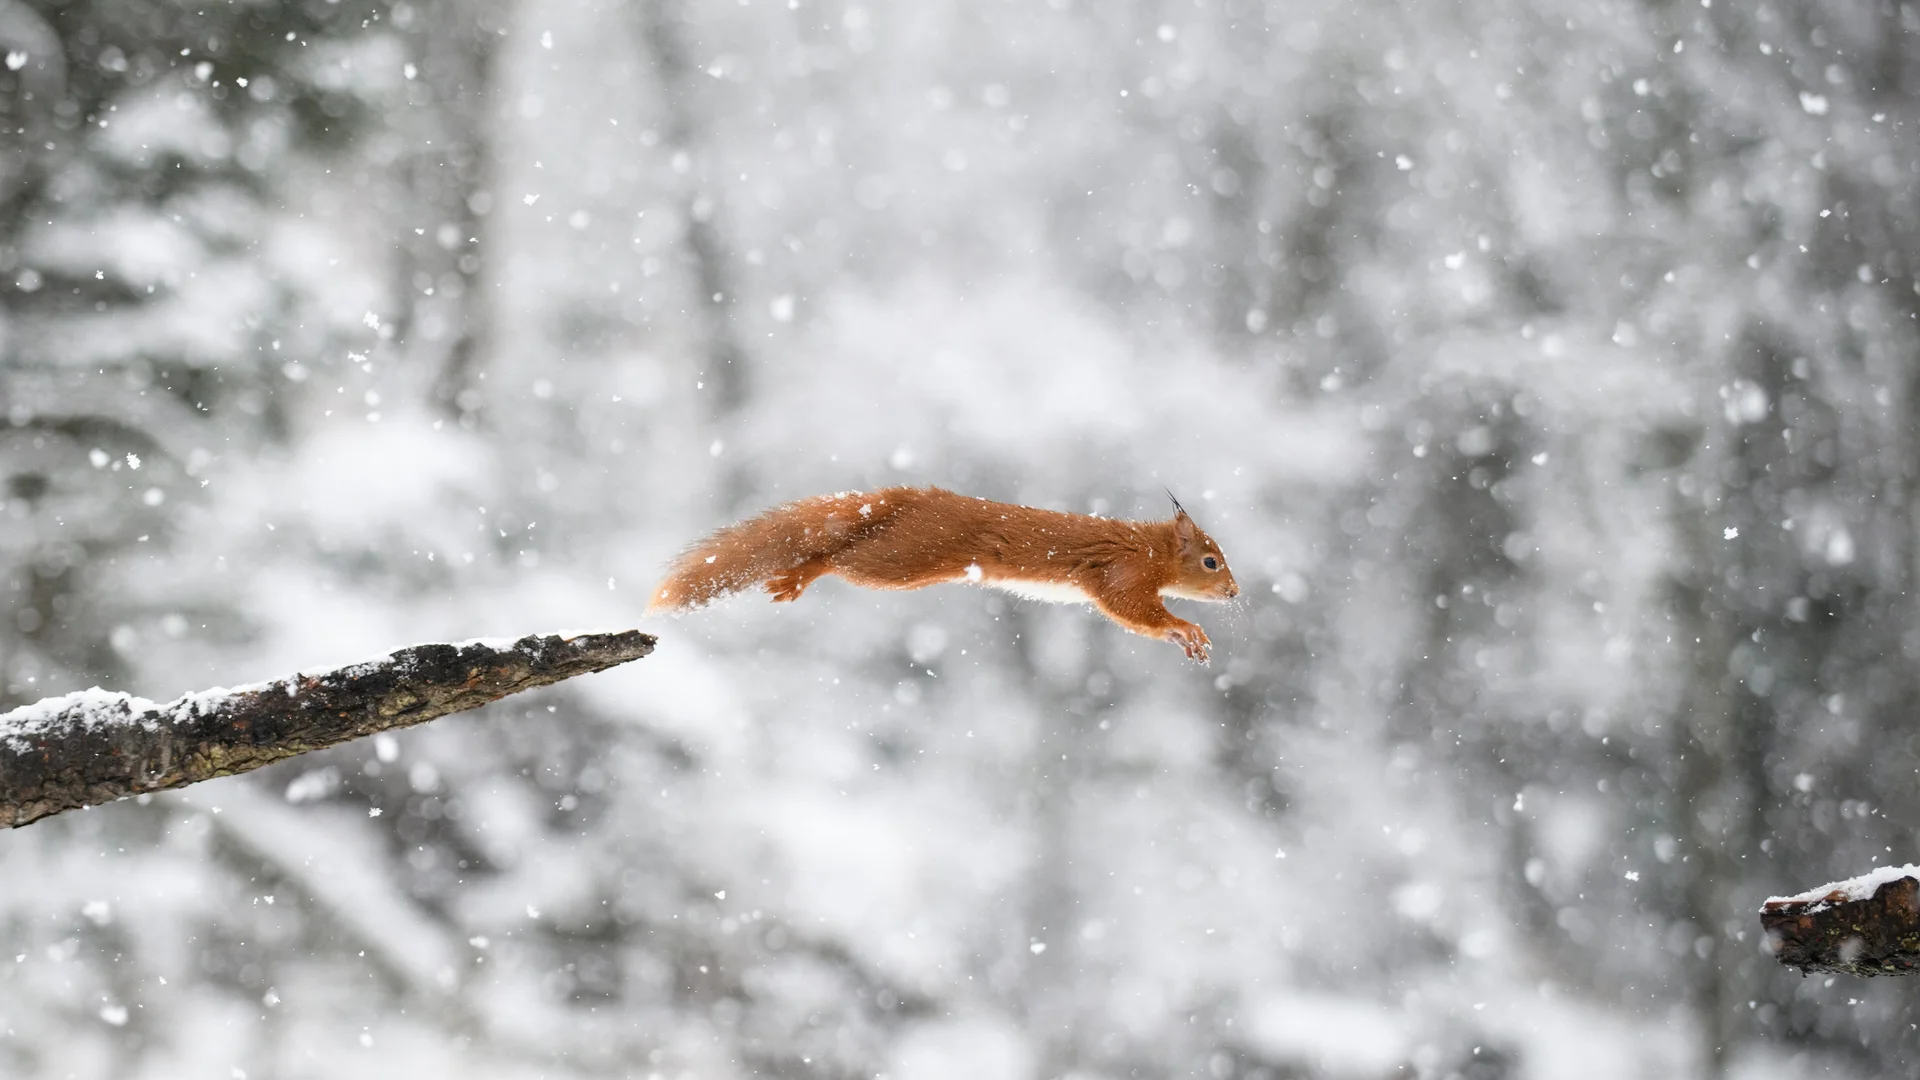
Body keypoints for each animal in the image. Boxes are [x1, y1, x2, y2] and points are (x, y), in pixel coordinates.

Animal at [647, 486, 1240, 662]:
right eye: (1211, 560)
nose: (1235, 592)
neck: (1154, 550)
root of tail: (910, 498)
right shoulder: (1122, 573)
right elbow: (1132, 608)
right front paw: (1187, 630)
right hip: (903, 559)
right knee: (836, 557)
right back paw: (801, 575)